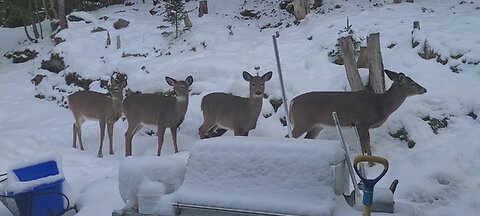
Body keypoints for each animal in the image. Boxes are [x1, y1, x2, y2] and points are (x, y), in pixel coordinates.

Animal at [288, 70, 428, 156]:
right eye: (412, 83)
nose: (425, 89)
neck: (380, 105)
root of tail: (292, 102)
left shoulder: (365, 126)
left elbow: (368, 146)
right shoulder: (362, 122)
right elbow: (362, 146)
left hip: (316, 126)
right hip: (302, 122)